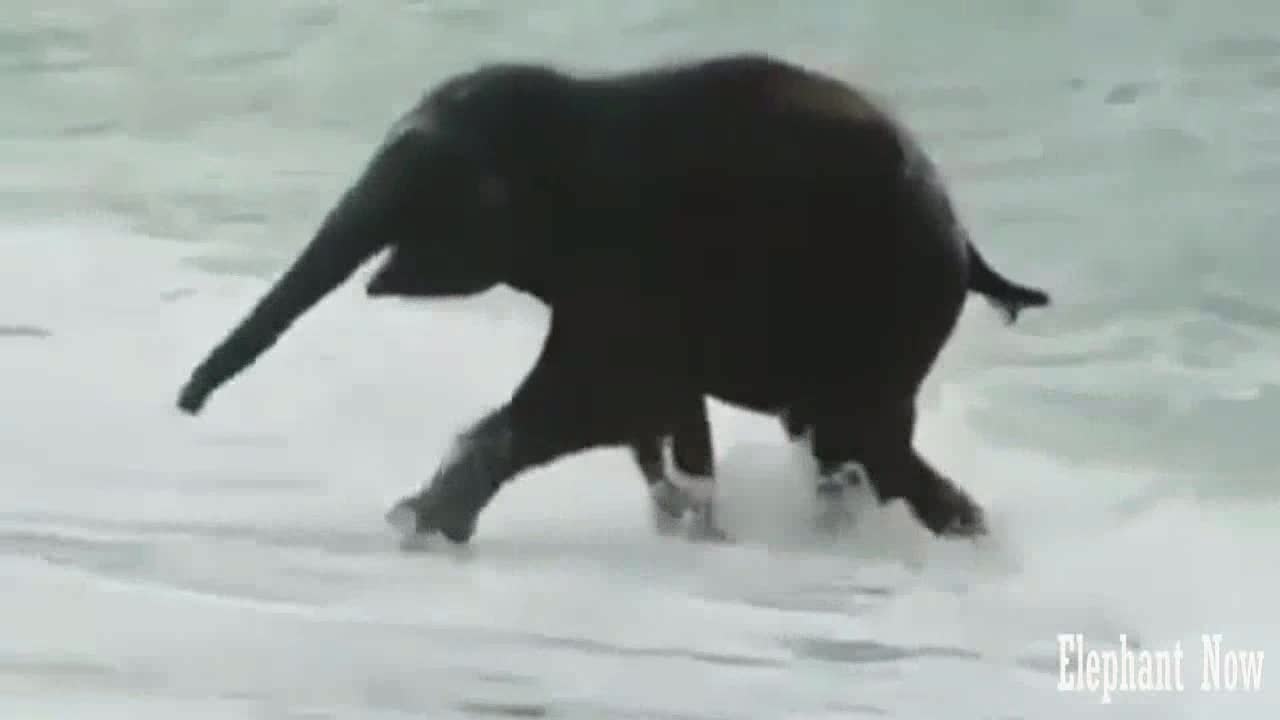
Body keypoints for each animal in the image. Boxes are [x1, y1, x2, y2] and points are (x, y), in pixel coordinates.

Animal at [177, 51, 1049, 543]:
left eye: (427, 185)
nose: (184, 405)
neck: (573, 109)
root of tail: (965, 239)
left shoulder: (630, 256)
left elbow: (595, 395)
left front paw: (416, 523)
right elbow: (654, 410)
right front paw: (691, 520)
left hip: (893, 305)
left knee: (859, 437)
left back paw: (946, 537)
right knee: (843, 439)